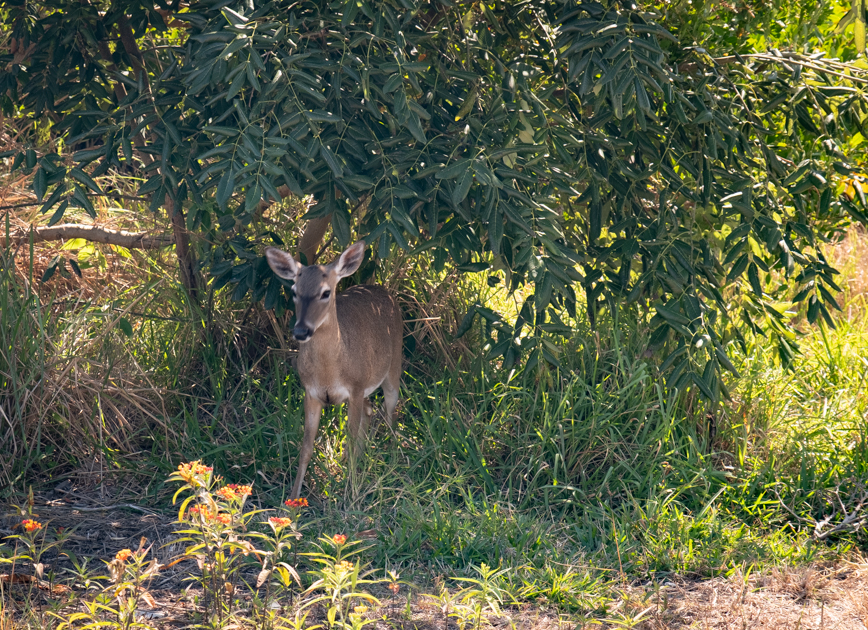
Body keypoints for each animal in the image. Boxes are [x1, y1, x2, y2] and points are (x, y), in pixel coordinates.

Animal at [265, 241, 403, 499]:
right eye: (294, 291)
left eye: (325, 293)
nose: (301, 331)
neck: (329, 373)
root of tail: (385, 291)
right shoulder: (311, 392)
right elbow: (306, 447)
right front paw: (292, 497)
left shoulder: (356, 387)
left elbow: (350, 435)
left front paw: (352, 491)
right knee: (370, 411)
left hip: (393, 365)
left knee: (390, 412)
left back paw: (388, 458)